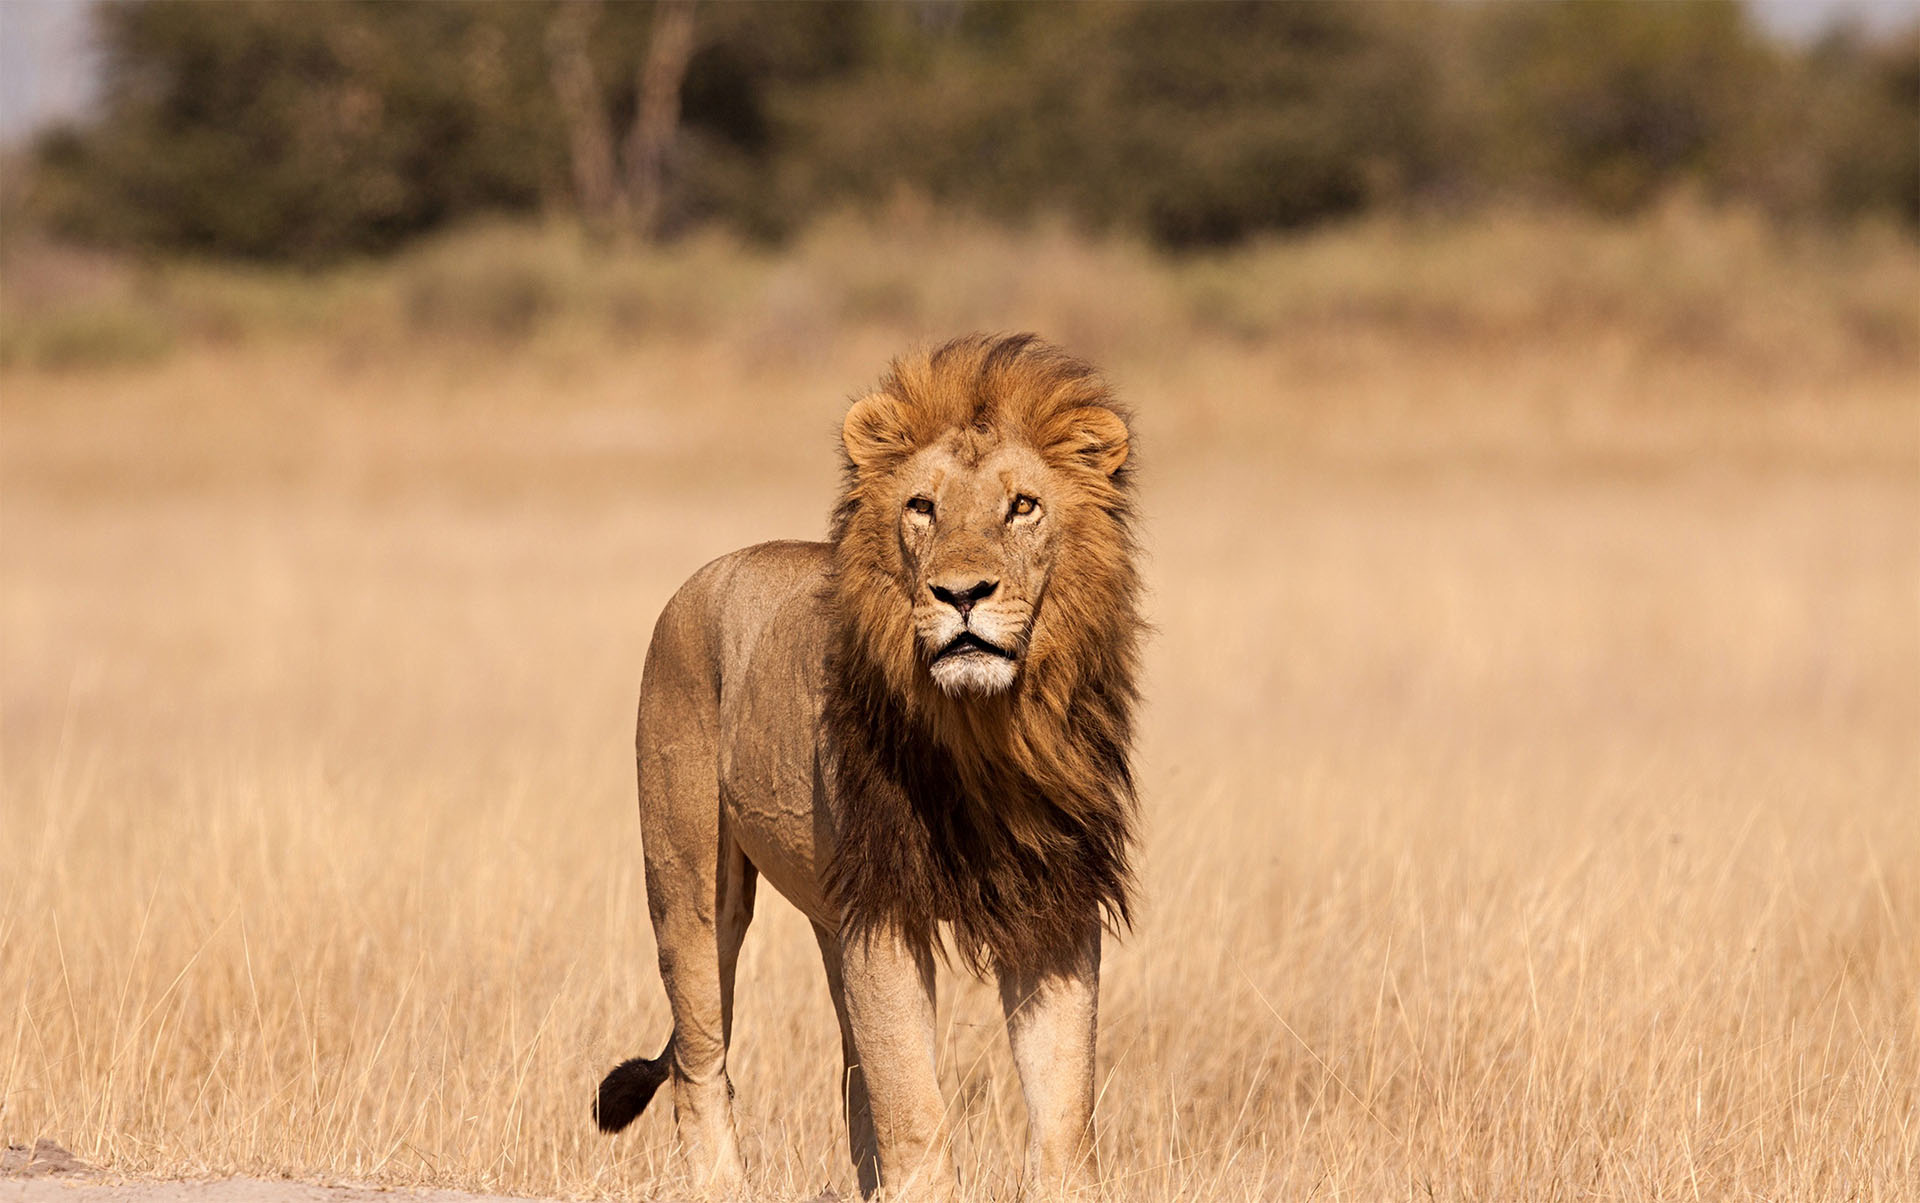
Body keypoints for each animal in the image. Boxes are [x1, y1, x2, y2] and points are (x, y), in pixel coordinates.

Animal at [595, 333, 1136, 1197]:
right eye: (922, 506)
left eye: (1022, 506)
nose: (961, 593)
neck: (982, 730)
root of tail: (699, 580)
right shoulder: (885, 908)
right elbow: (914, 1101)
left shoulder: (1053, 904)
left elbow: (1062, 1108)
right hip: (690, 887)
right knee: (698, 1059)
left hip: (828, 916)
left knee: (852, 1077)